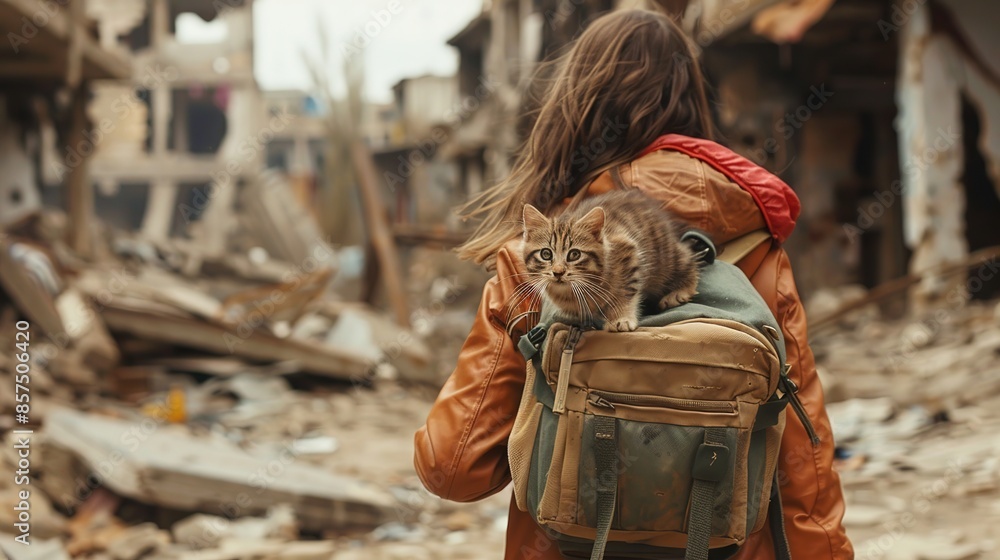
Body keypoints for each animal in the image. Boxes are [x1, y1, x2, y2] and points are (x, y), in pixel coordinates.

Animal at [520, 190, 700, 330]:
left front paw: (621, 317)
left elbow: (626, 293)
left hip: (666, 256)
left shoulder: (629, 252)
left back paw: (680, 291)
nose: (558, 272)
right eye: (546, 254)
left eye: (574, 255)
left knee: (688, 258)